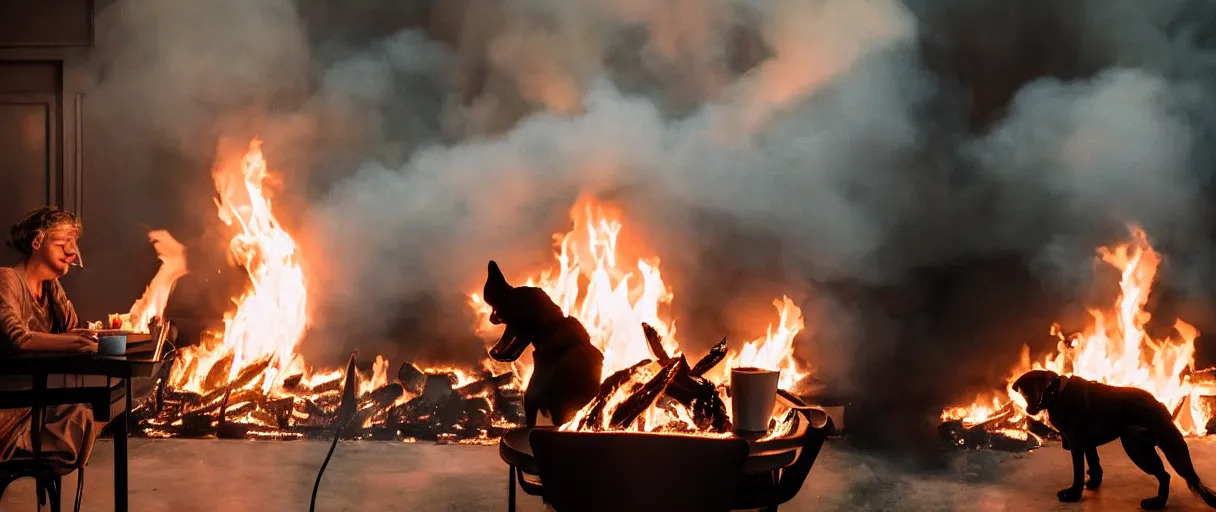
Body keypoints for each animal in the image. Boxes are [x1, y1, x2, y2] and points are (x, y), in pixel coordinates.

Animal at [1011, 367, 1216, 505]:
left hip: (1134, 443)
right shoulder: (1088, 444)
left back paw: (1156, 503)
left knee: (1164, 475)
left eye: (1024, 392)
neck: (1056, 392)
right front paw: (1093, 483)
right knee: (1165, 474)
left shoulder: (1077, 444)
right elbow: (1095, 465)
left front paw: (1073, 495)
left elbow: (1078, 473)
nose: (1028, 410)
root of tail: (1160, 408)